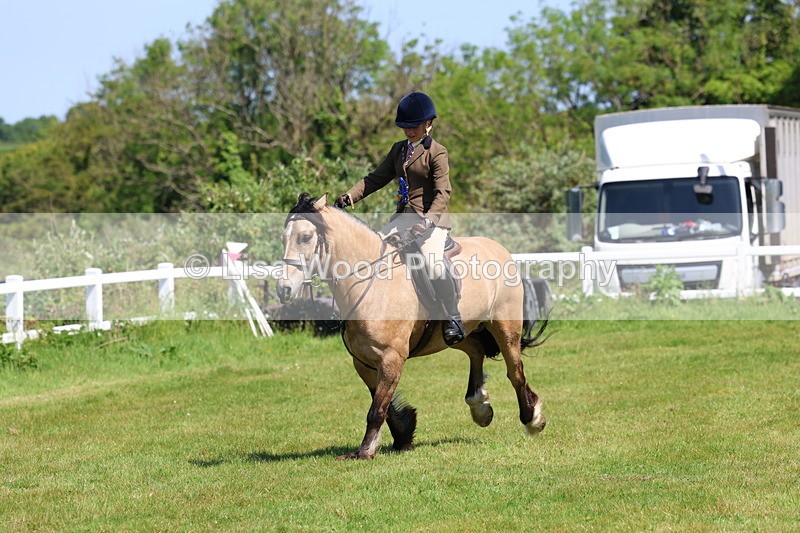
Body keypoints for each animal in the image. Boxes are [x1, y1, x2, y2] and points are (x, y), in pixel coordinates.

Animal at [277, 193, 547, 460]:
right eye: (283, 238)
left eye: (305, 237)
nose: (284, 290)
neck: (372, 283)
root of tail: (499, 248)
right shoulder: (363, 361)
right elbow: (384, 406)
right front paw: (403, 436)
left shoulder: (391, 358)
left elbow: (377, 409)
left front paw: (365, 451)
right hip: (457, 333)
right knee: (476, 350)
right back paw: (479, 405)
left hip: (505, 326)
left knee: (515, 371)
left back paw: (532, 419)